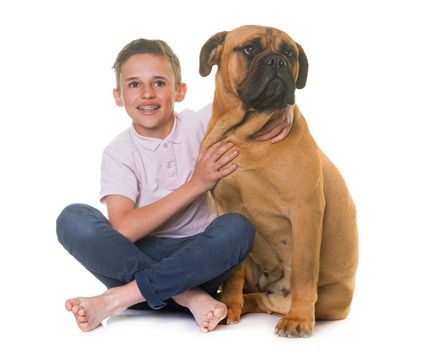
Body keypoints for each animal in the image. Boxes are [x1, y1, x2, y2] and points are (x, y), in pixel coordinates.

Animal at [199, 24, 358, 336]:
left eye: (289, 53)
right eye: (249, 48)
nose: (277, 61)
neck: (246, 136)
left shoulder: (306, 210)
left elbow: (305, 271)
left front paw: (299, 318)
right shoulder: (228, 210)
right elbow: (233, 272)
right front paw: (230, 306)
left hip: (332, 298)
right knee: (258, 295)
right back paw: (228, 303)